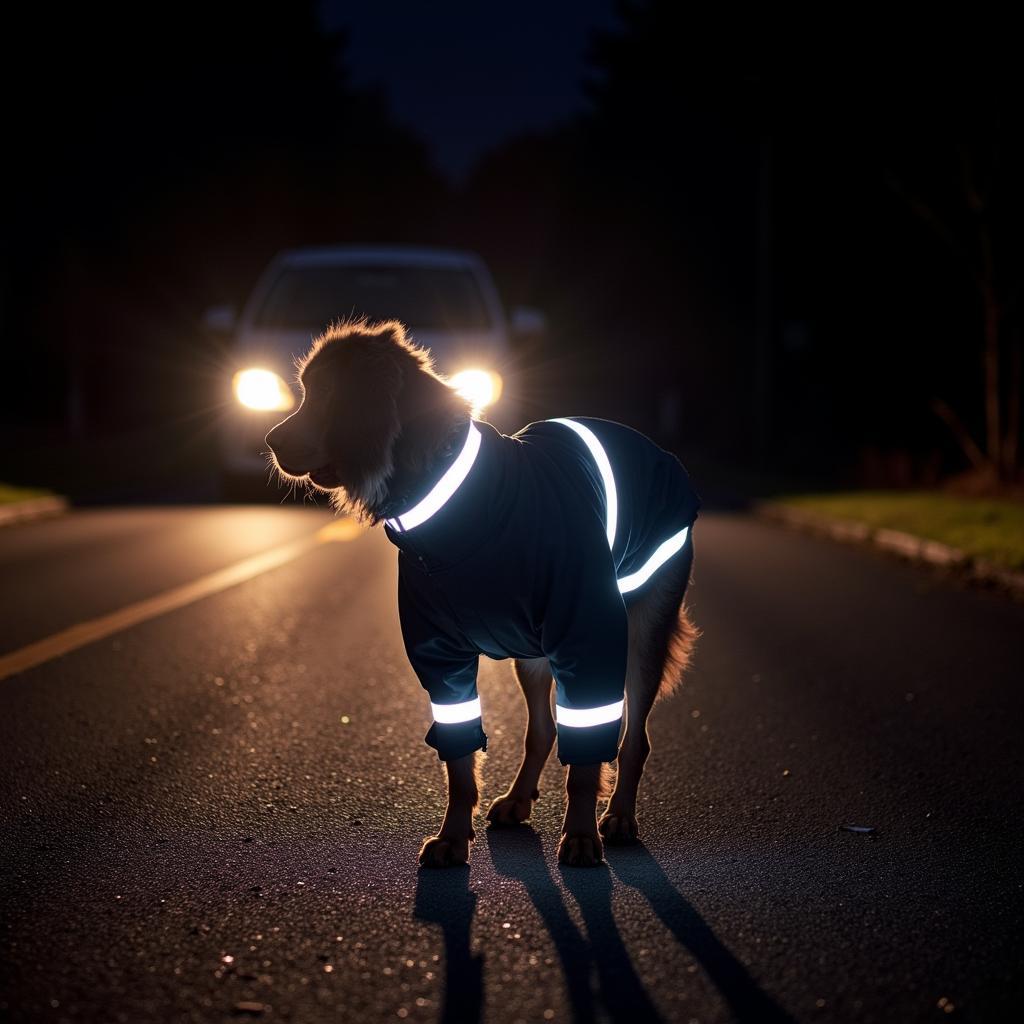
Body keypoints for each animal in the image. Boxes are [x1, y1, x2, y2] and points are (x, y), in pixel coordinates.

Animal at [264, 317, 700, 864]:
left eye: (325, 392)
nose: (270, 440)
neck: (462, 506)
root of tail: (652, 448)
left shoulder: (586, 634)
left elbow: (587, 755)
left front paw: (581, 834)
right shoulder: (440, 656)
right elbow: (460, 758)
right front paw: (453, 835)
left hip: (644, 631)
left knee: (633, 736)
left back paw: (619, 815)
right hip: (531, 654)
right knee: (543, 730)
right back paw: (518, 798)